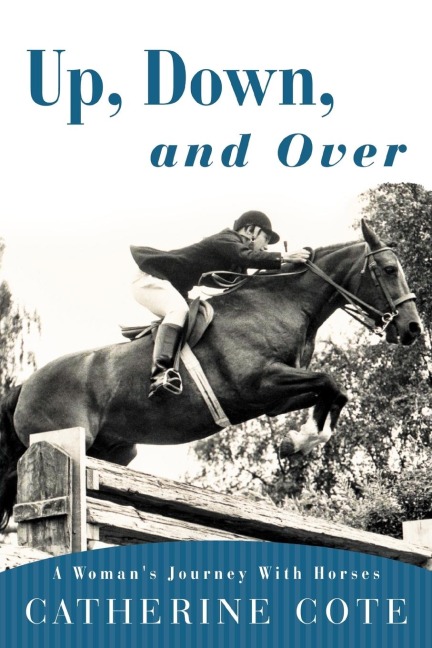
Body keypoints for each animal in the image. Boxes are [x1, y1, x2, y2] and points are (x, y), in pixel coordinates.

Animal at [0, 219, 422, 529]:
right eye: (389, 270)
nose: (412, 329)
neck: (284, 304)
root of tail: (24, 386)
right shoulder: (259, 383)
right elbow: (330, 382)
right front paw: (300, 440)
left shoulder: (273, 397)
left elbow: (335, 392)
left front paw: (299, 441)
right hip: (64, 438)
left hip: (115, 450)